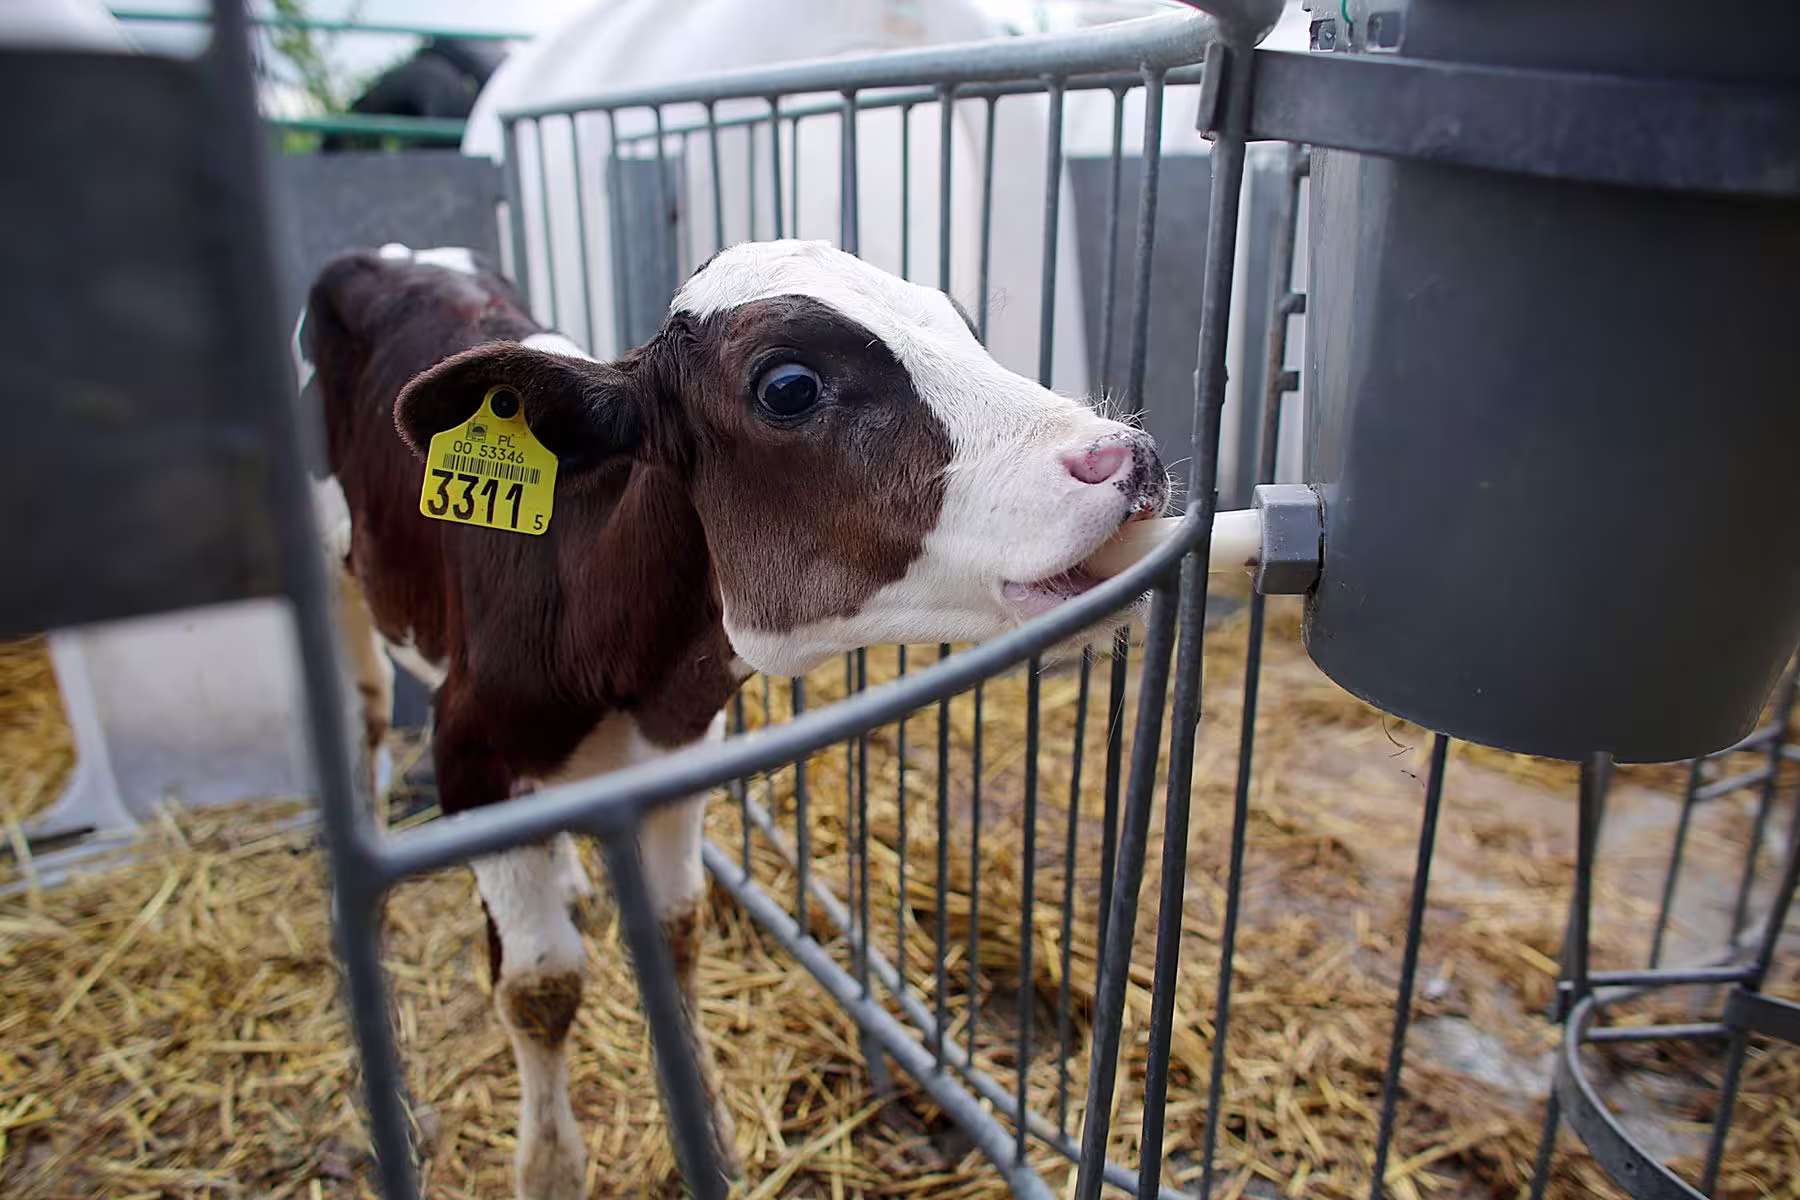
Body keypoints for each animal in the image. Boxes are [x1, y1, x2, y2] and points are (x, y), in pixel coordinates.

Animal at [295, 237, 1167, 1198]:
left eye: (960, 323)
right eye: (787, 386)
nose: (1126, 457)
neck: (609, 644)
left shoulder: (681, 754)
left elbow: (677, 932)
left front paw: (708, 1133)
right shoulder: (473, 758)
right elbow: (539, 987)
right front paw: (551, 1168)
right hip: (334, 577)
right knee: (364, 712)